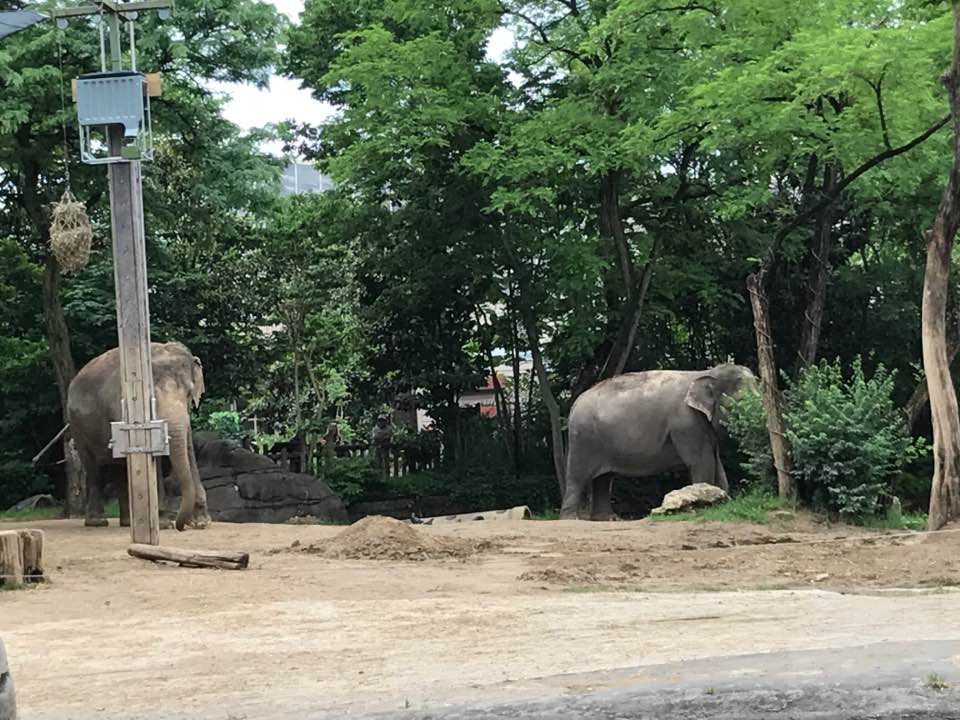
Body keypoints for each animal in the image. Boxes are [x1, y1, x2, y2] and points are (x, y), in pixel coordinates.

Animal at [67, 341, 210, 531]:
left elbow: (188, 447)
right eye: (152, 396)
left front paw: (201, 522)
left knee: (119, 467)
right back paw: (97, 522)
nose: (182, 526)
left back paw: (127, 522)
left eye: (189, 393)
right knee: (93, 468)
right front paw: (163, 523)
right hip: (77, 427)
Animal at [559, 363, 757, 520]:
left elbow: (716, 461)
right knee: (577, 477)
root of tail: (574, 404)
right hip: (584, 439)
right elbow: (701, 461)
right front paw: (709, 504)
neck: (707, 372)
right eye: (738, 403)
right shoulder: (686, 423)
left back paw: (608, 519)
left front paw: (723, 500)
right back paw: (571, 519)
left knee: (604, 479)